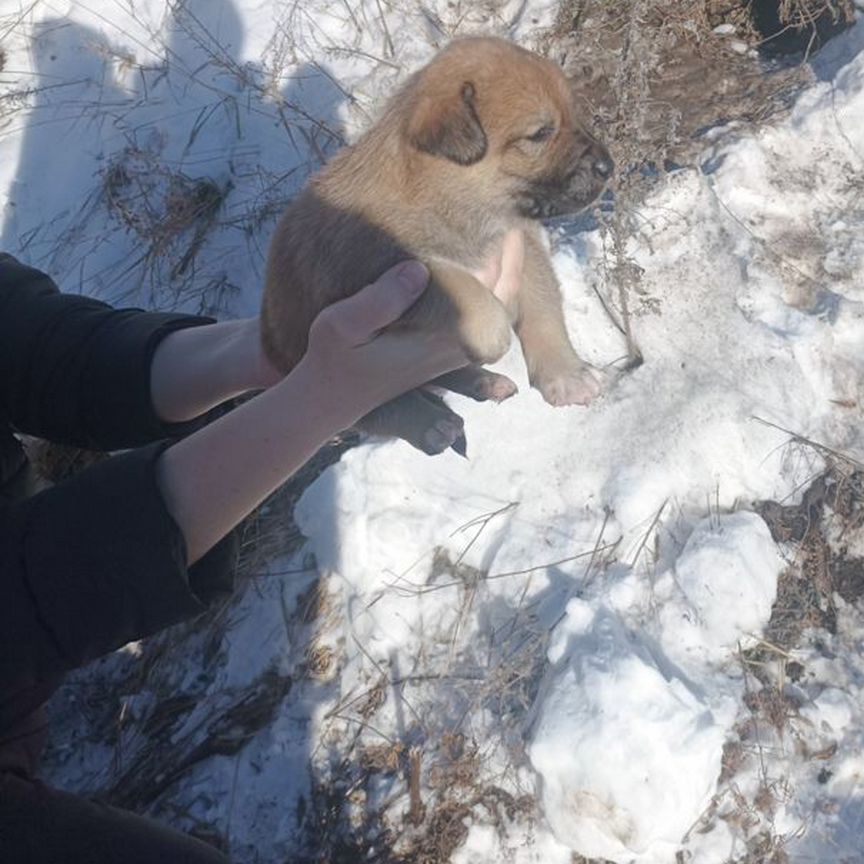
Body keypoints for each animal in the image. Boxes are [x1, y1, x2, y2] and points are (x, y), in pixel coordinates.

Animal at [260, 38, 612, 460]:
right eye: (540, 134)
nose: (609, 166)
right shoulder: (381, 269)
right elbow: (466, 292)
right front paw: (493, 337)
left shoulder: (523, 245)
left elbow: (543, 307)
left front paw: (567, 374)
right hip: (321, 369)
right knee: (378, 406)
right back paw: (430, 424)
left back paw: (484, 383)